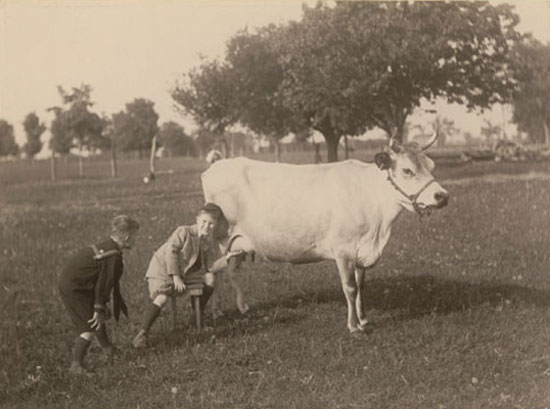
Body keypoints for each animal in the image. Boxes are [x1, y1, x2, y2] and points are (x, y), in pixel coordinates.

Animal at [201, 135, 450, 334]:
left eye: (431, 165)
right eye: (407, 170)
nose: (442, 196)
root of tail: (216, 166)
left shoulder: (361, 251)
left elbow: (361, 286)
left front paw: (364, 319)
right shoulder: (344, 250)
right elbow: (350, 287)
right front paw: (353, 326)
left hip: (236, 244)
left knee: (231, 272)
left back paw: (242, 307)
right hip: (219, 238)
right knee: (218, 271)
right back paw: (217, 311)